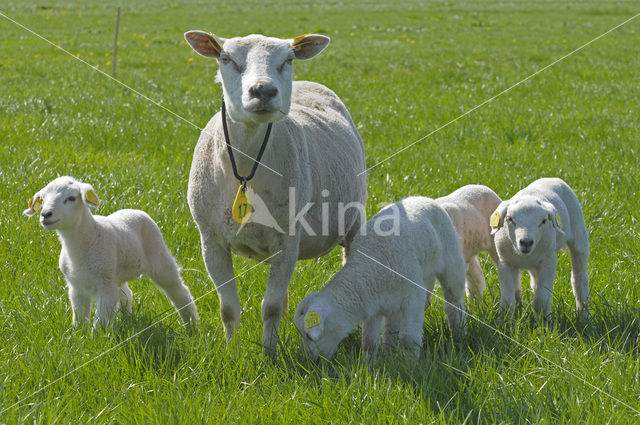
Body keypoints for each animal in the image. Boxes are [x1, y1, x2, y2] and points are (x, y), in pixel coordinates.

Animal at [23, 176, 198, 328]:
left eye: (71, 198)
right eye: (43, 199)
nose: (45, 214)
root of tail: (134, 210)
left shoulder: (105, 286)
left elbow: (100, 323)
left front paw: (96, 340)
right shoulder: (76, 287)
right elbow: (79, 319)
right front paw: (79, 337)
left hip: (159, 257)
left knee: (179, 290)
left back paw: (191, 325)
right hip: (118, 272)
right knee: (127, 293)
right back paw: (128, 319)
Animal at [182, 30, 368, 354]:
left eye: (288, 60)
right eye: (226, 58)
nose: (264, 91)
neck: (246, 168)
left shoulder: (288, 240)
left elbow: (270, 308)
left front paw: (269, 355)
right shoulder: (210, 240)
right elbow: (228, 308)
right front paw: (232, 352)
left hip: (354, 218)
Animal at [294, 197, 464, 360]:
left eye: (309, 336)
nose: (311, 361)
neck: (370, 269)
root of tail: (423, 198)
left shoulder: (413, 297)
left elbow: (408, 339)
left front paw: (411, 363)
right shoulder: (373, 307)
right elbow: (369, 342)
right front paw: (369, 364)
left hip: (452, 261)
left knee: (454, 302)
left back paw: (458, 334)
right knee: (391, 326)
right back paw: (390, 352)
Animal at [490, 177, 592, 320]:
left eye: (543, 221)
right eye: (509, 219)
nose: (526, 242)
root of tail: (552, 178)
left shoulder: (548, 261)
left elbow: (541, 300)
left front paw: (543, 323)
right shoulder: (505, 263)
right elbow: (507, 302)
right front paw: (505, 323)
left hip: (579, 235)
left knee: (579, 278)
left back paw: (583, 316)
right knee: (535, 282)